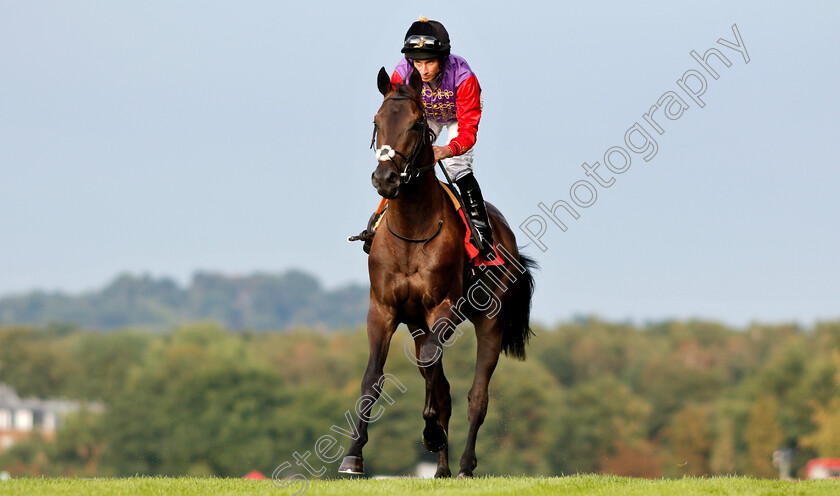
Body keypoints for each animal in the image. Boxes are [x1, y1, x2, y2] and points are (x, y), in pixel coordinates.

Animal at [338, 66, 536, 476]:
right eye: (377, 121)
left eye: (416, 125)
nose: (385, 178)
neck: (412, 232)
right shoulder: (384, 309)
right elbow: (373, 378)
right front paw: (353, 455)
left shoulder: (442, 306)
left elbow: (435, 369)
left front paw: (430, 433)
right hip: (417, 324)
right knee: (441, 385)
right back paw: (442, 467)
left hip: (490, 321)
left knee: (477, 396)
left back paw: (463, 464)